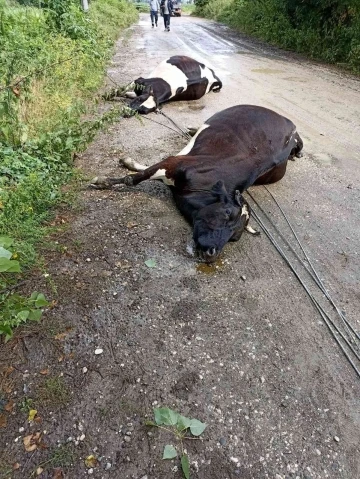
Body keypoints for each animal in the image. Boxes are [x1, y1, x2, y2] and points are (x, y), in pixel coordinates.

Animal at [91, 105, 302, 264]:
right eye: (227, 214)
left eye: (234, 238)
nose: (212, 254)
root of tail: (289, 123)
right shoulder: (175, 163)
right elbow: (134, 178)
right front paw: (104, 181)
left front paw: (127, 164)